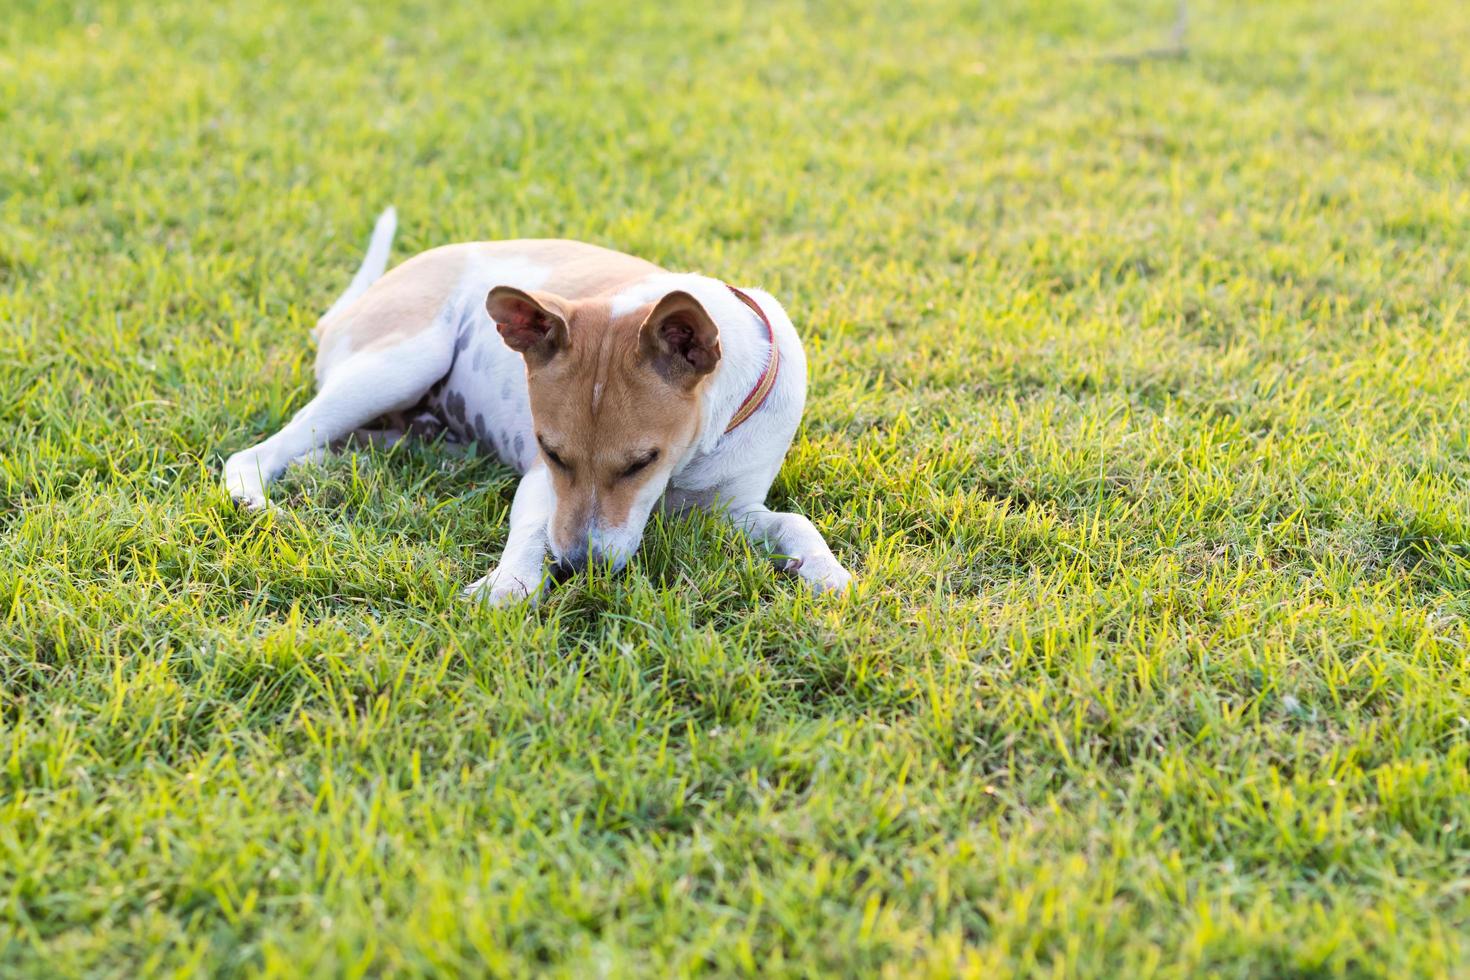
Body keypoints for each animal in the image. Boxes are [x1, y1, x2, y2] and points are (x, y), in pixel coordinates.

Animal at [223, 211, 858, 602]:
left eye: (641, 462)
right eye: (553, 453)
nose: (579, 568)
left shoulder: (731, 509)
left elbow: (795, 521)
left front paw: (827, 573)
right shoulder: (540, 483)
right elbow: (531, 530)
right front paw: (507, 586)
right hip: (402, 361)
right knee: (261, 449)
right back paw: (255, 498)